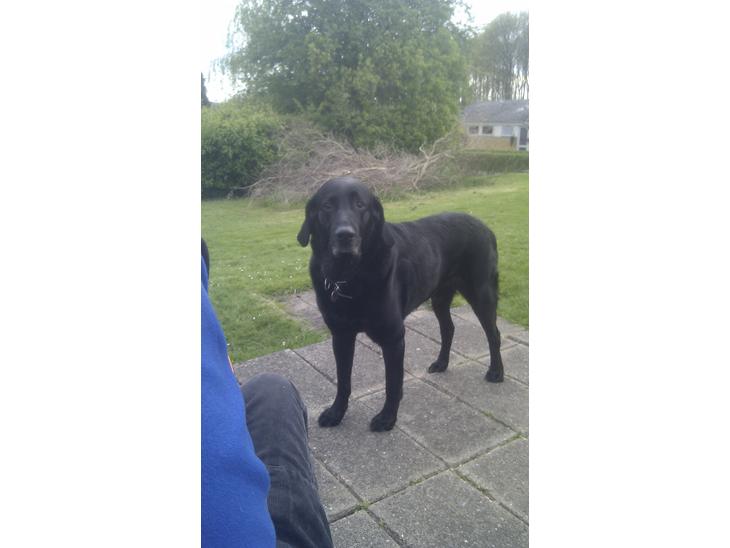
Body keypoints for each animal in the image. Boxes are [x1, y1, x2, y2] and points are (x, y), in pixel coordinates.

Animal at [297, 176, 504, 431]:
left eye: (360, 205)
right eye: (327, 206)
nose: (345, 235)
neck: (349, 276)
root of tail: (486, 228)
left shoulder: (393, 338)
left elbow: (392, 383)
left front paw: (387, 418)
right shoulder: (341, 336)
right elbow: (343, 380)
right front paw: (336, 413)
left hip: (481, 294)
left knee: (493, 334)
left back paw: (496, 372)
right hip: (439, 298)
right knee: (448, 328)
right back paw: (441, 363)